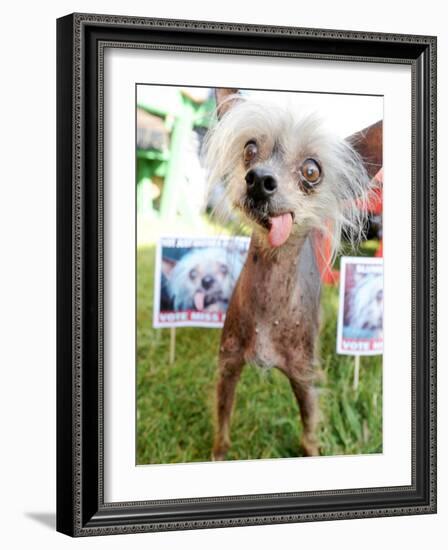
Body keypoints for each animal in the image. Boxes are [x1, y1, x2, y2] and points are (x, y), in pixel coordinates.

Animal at [204, 89, 382, 462]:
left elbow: (310, 433)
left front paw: (312, 452)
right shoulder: (228, 367)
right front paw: (218, 454)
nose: (259, 179)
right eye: (249, 149)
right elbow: (223, 422)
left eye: (311, 171)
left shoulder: (304, 380)